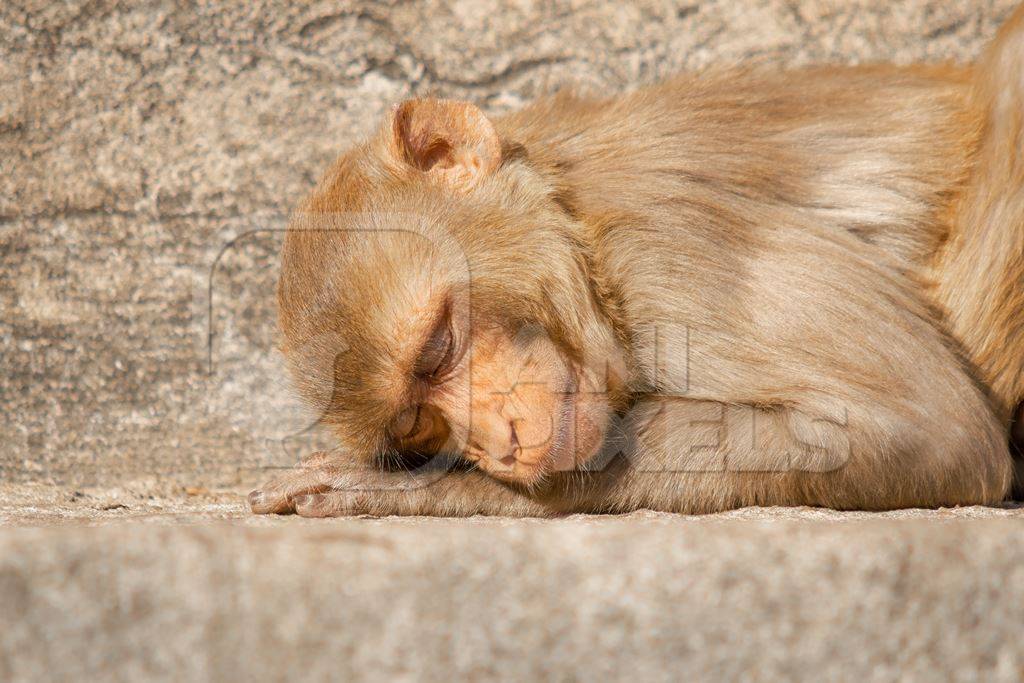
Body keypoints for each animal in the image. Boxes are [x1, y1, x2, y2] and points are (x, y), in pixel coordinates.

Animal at [249, 6, 1024, 518]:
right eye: (417, 425)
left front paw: (410, 489)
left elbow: (926, 427)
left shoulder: (678, 252)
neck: (584, 226)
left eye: (438, 347)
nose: (501, 445)